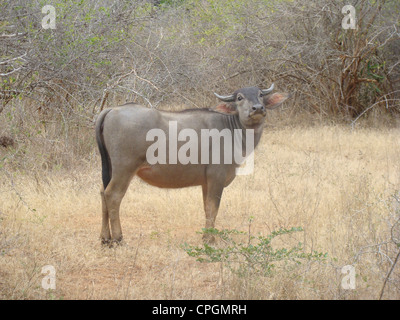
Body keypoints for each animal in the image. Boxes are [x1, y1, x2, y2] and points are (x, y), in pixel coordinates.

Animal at [95, 85, 290, 245]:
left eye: (260, 95)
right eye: (240, 97)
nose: (257, 108)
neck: (232, 128)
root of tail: (112, 109)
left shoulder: (206, 182)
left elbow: (206, 208)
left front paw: (205, 236)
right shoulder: (217, 179)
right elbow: (213, 208)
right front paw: (210, 239)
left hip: (109, 169)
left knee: (103, 193)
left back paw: (105, 238)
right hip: (124, 169)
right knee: (113, 195)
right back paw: (118, 238)